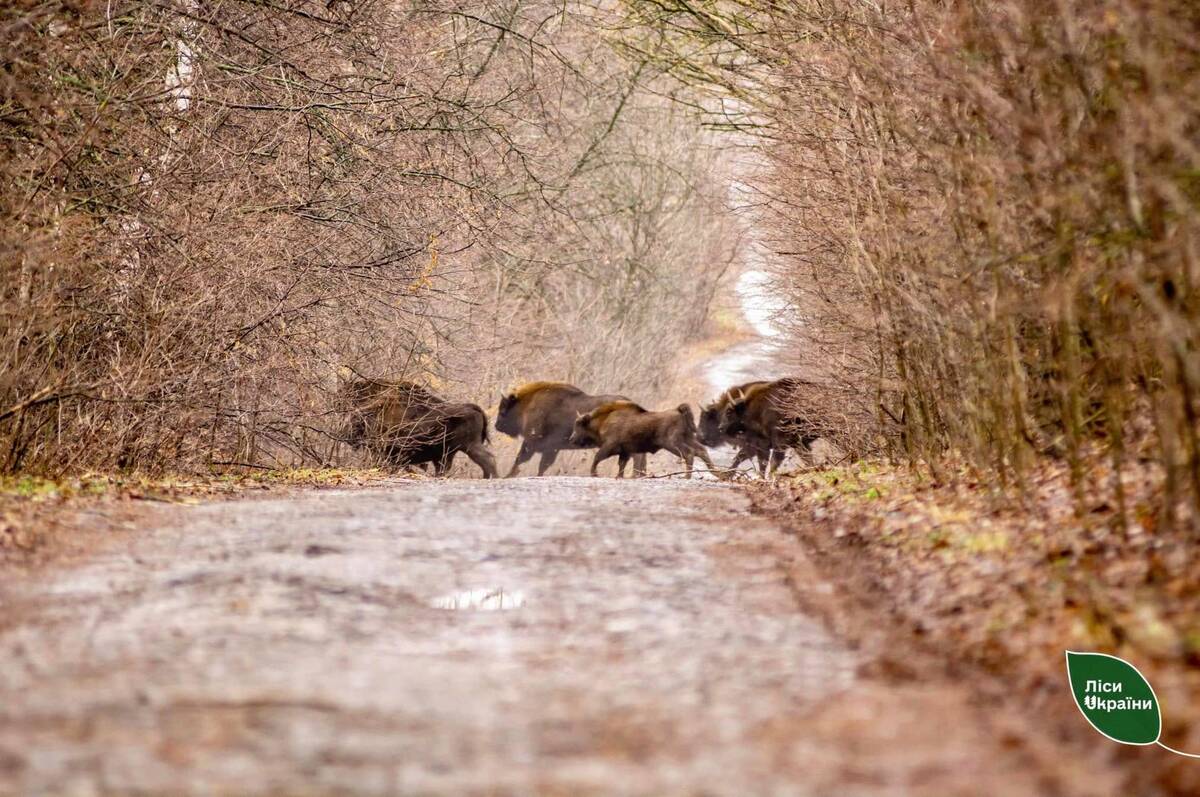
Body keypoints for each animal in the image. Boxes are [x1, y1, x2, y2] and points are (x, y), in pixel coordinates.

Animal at [494, 384, 648, 475]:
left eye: (503, 410)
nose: (496, 426)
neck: (527, 406)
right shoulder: (551, 449)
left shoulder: (535, 444)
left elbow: (526, 461)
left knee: (637, 456)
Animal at [568, 400, 715, 475]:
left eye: (579, 424)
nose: (571, 439)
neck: (604, 420)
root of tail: (678, 410)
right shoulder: (626, 452)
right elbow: (621, 465)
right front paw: (619, 477)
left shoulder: (610, 446)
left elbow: (597, 457)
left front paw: (594, 473)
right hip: (688, 439)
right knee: (701, 451)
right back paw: (716, 473)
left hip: (672, 443)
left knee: (689, 454)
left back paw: (687, 477)